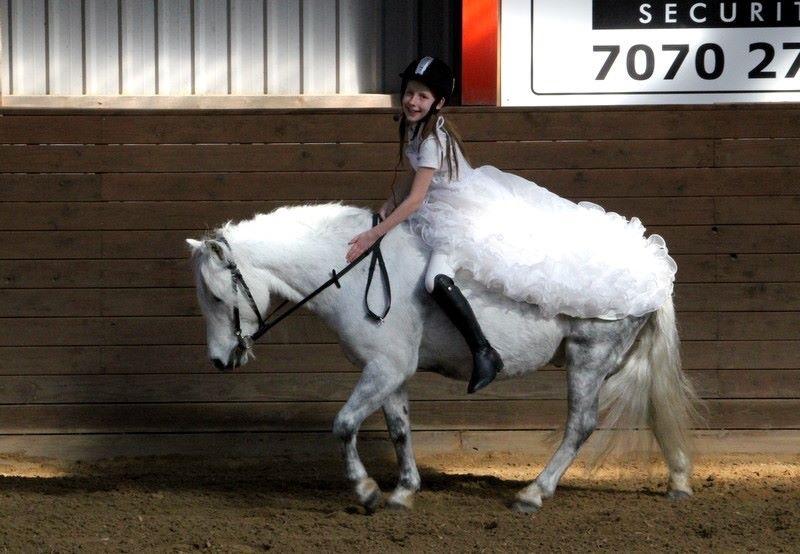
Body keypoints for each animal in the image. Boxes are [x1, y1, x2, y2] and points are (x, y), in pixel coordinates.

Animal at [188, 205, 700, 512]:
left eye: (214, 296)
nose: (218, 360)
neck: (354, 270)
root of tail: (652, 271)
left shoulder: (384, 367)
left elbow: (344, 424)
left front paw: (367, 490)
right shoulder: (391, 373)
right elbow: (399, 429)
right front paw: (403, 491)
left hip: (588, 358)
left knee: (581, 425)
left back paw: (534, 493)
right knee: (655, 407)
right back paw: (678, 482)